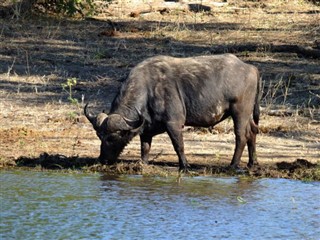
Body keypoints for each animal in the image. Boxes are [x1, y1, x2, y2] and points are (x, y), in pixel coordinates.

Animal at [85, 54, 260, 171]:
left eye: (112, 137)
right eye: (99, 136)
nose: (102, 159)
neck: (149, 90)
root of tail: (250, 68)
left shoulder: (174, 123)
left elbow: (178, 146)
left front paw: (185, 165)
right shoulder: (146, 129)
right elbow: (145, 148)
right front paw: (143, 164)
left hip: (240, 112)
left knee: (241, 136)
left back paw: (233, 165)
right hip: (248, 115)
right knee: (252, 132)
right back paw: (252, 163)